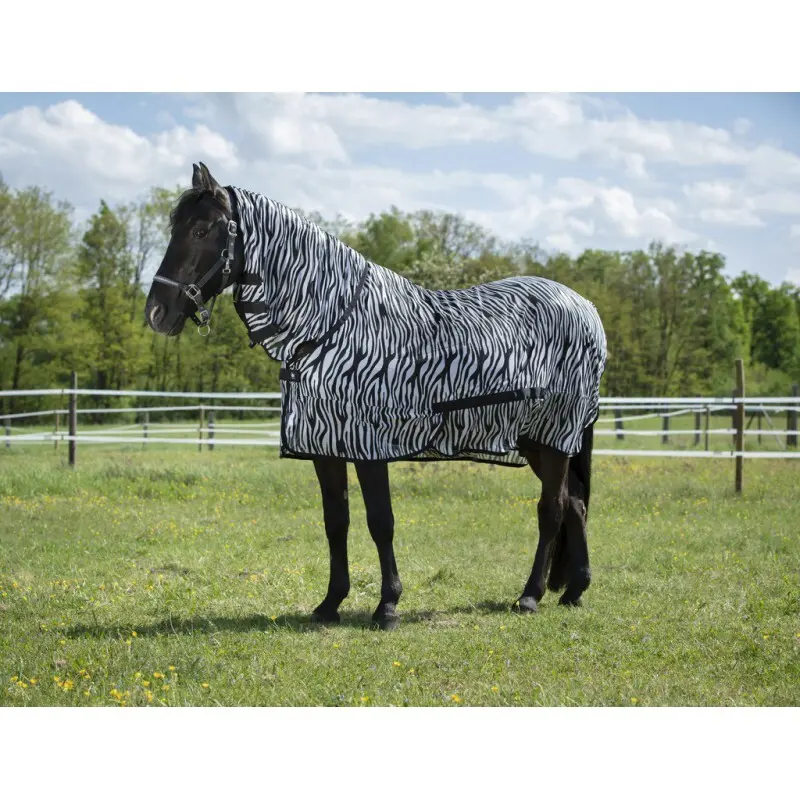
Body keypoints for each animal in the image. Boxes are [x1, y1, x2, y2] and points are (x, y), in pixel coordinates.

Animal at [144, 162, 607, 630]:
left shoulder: (370, 446)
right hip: (537, 442)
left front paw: (387, 606)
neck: (333, 326)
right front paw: (330, 603)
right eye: (175, 226)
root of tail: (585, 307)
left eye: (202, 230)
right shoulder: (326, 447)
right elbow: (337, 521)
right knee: (575, 504)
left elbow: (380, 522)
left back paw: (530, 596)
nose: (156, 314)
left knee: (551, 509)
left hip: (554, 438)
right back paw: (575, 589)